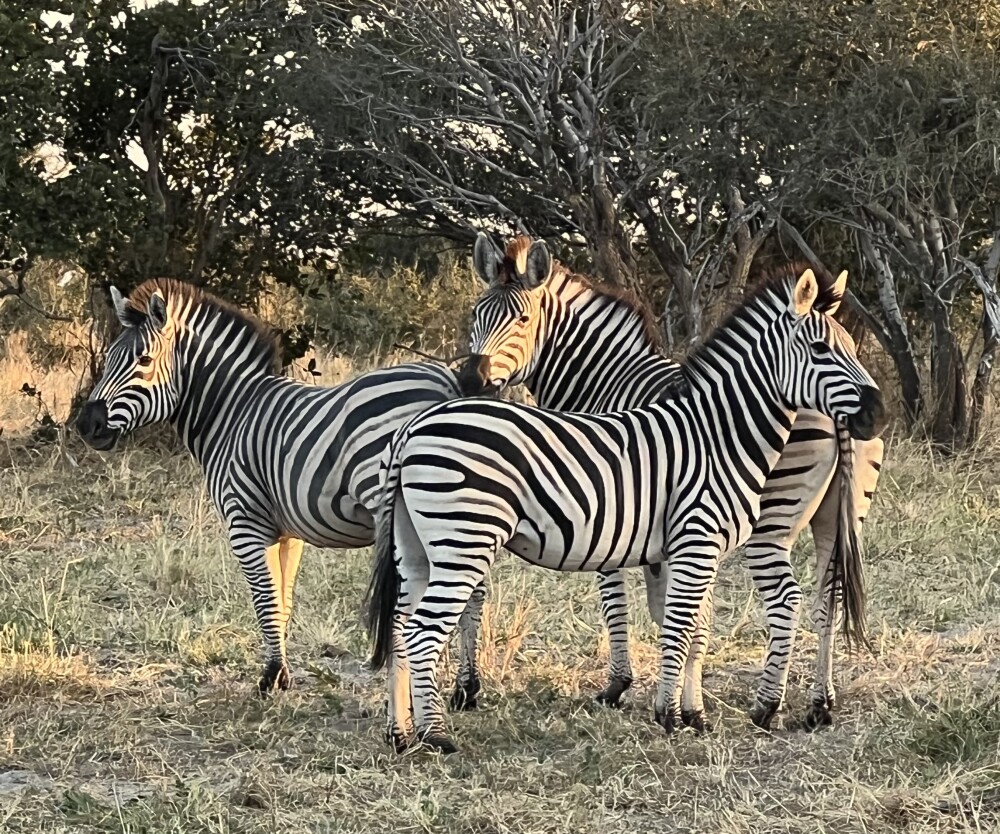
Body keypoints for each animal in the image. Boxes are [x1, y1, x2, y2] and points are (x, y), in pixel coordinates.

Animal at [76, 279, 462, 694]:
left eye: (144, 361)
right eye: (109, 359)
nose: (86, 425)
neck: (231, 413)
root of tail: (450, 381)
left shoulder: (244, 521)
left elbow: (265, 600)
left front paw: (271, 677)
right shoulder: (287, 531)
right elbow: (282, 599)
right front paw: (280, 672)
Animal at [367, 264, 884, 754]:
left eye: (851, 347)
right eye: (820, 349)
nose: (876, 413)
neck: (719, 432)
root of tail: (413, 427)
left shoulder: (695, 549)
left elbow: (694, 629)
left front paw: (693, 715)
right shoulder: (694, 541)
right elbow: (678, 627)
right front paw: (668, 716)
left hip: (418, 549)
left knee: (399, 626)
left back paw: (400, 734)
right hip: (463, 542)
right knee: (422, 631)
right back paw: (435, 736)